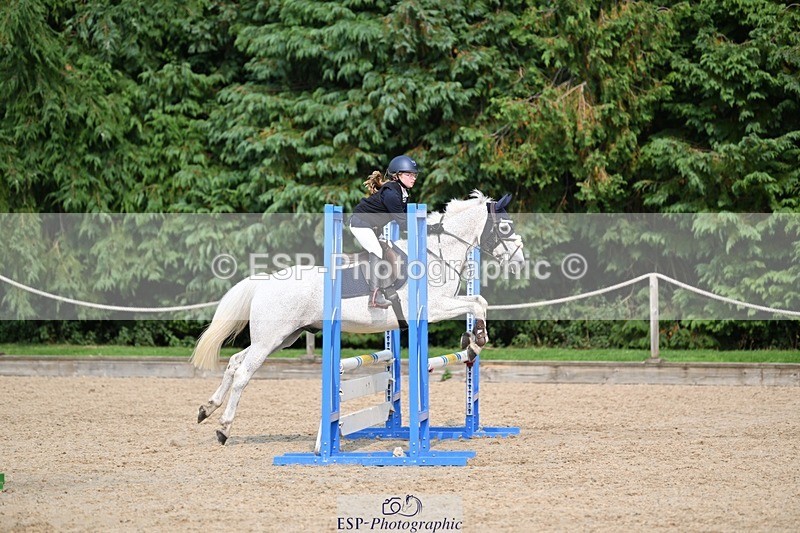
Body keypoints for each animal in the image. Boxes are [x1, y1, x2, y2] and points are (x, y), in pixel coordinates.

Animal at [190, 191, 525, 444]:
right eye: (505, 229)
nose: (521, 261)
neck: (435, 255)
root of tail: (265, 282)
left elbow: (478, 302)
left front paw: (472, 341)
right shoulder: (435, 309)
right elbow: (477, 304)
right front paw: (476, 341)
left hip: (281, 338)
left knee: (235, 362)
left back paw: (207, 409)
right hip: (270, 339)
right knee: (244, 373)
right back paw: (223, 428)